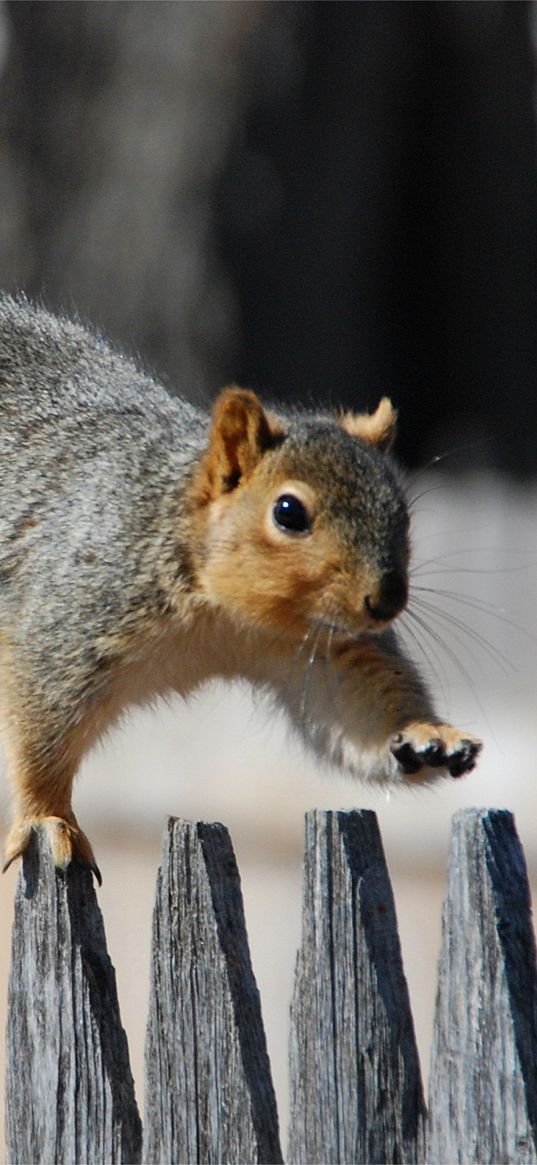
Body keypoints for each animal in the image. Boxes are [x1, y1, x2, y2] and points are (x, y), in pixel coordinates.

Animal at [0, 293, 479, 880]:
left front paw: (427, 736)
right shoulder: (68, 618)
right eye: (288, 511)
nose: (386, 601)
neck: (225, 617)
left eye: (403, 513)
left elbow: (353, 707)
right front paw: (48, 820)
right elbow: (40, 730)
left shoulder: (322, 651)